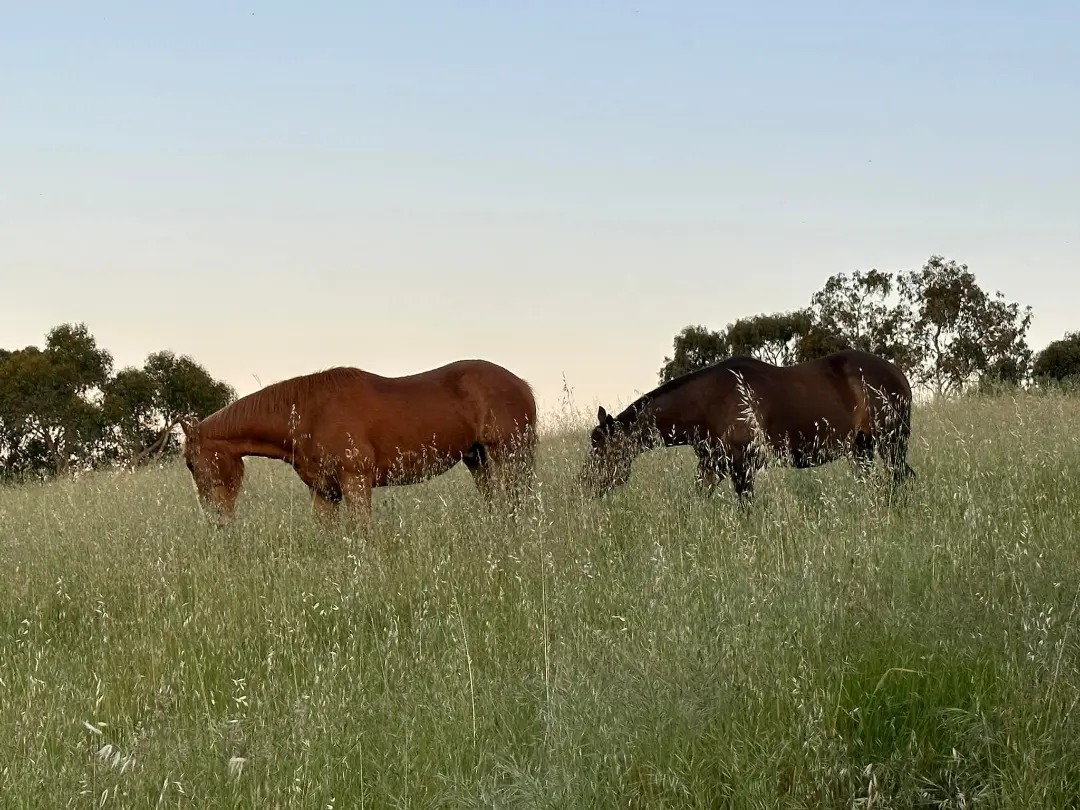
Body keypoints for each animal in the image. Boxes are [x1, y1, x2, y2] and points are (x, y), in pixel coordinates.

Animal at [179, 360, 537, 527]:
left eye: (191, 463)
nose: (215, 521)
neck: (309, 413)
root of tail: (521, 384)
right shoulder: (324, 493)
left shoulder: (356, 483)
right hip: (477, 459)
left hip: (508, 455)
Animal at [578, 349, 915, 501]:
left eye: (601, 450)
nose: (584, 484)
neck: (709, 403)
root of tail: (896, 373)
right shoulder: (711, 467)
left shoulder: (743, 466)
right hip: (862, 450)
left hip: (891, 445)